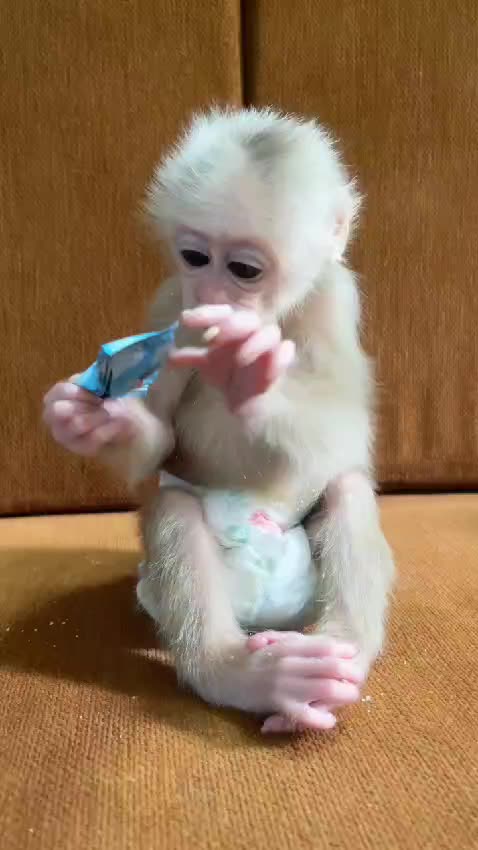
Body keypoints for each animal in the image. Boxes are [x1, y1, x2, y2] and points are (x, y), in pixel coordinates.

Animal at [43, 108, 395, 734]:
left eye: (243, 269)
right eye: (195, 259)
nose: (209, 291)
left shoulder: (334, 298)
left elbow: (346, 435)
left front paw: (249, 379)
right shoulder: (171, 308)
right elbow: (158, 444)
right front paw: (100, 424)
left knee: (347, 489)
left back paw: (341, 652)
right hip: (164, 591)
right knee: (174, 508)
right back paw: (238, 673)